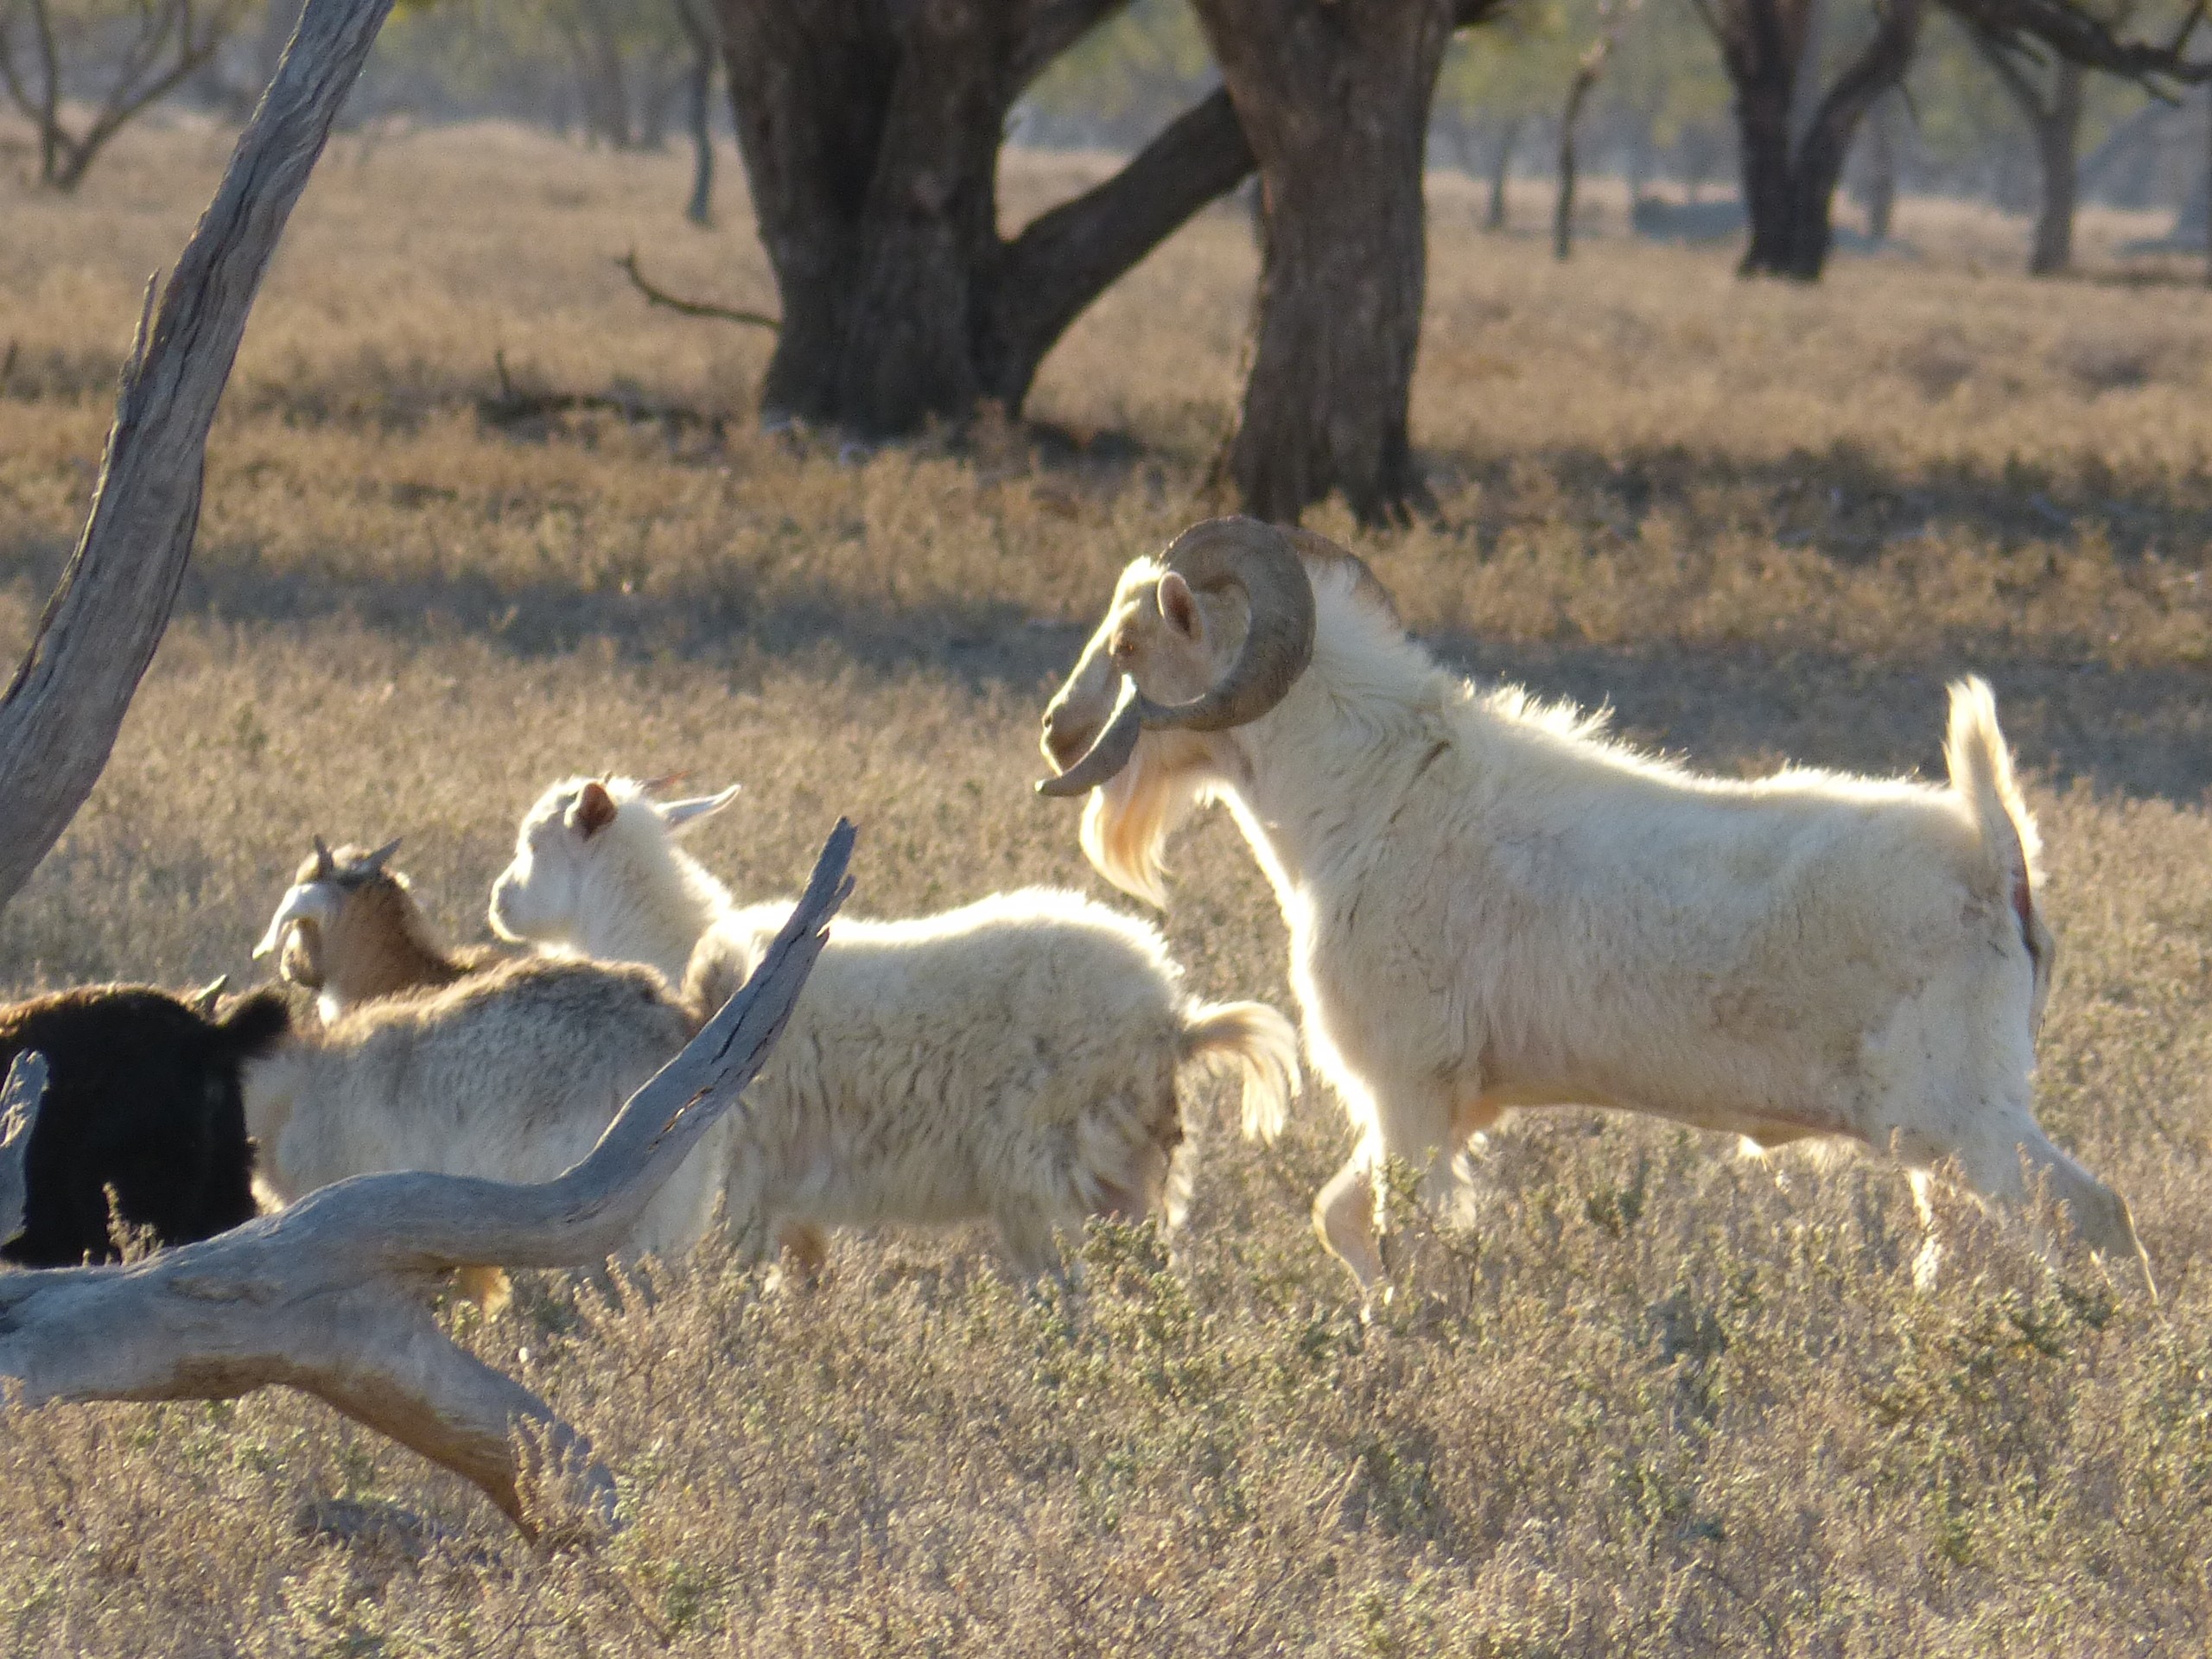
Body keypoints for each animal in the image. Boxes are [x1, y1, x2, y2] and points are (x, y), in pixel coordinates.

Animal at [493, 779, 1300, 1274]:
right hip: (1128, 1175)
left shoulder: (735, 1171)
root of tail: (1176, 1017)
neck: (673, 946)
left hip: (1047, 1168)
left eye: (534, 843)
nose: (499, 901)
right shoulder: (789, 1198)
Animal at [1044, 518, 2150, 1300]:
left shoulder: (1407, 1094)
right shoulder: (1452, 1106)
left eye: (1133, 640)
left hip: (1964, 1115)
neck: (1379, 791)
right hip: (1941, 1138)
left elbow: (1379, 1236)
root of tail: (1993, 856)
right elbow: (1352, 1220)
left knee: (2097, 1218)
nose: (1057, 730)